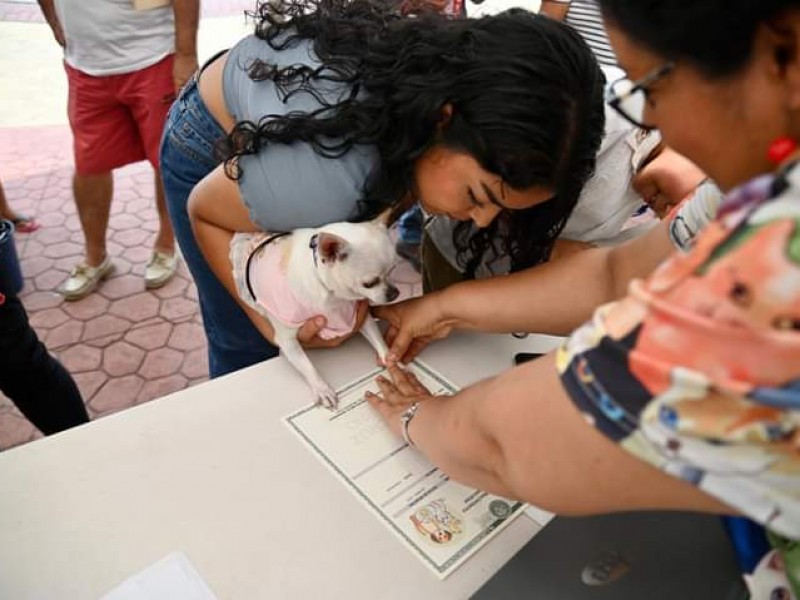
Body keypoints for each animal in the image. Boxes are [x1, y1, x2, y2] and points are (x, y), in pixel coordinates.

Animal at [231, 219, 400, 408]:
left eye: (393, 270)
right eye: (369, 283)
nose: (395, 293)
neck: (331, 294)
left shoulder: (360, 316)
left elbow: (376, 337)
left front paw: (390, 358)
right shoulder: (287, 341)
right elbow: (307, 365)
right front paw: (322, 389)